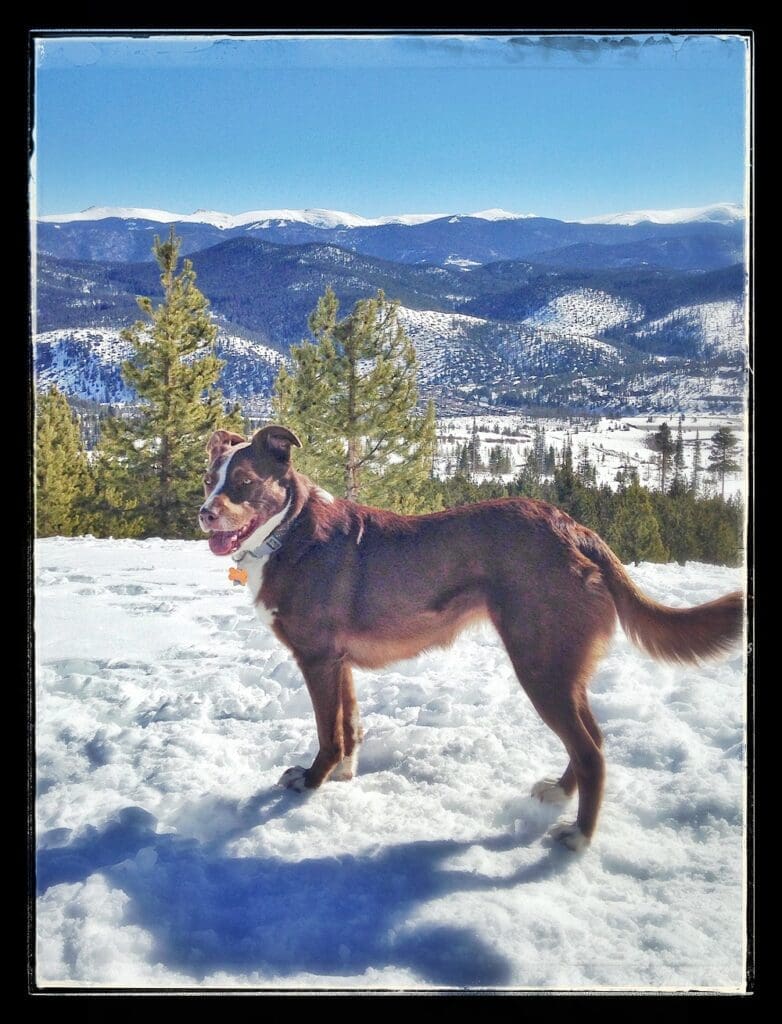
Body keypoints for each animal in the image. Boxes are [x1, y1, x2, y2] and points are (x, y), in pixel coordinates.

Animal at [198, 428, 741, 851]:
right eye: (208, 480)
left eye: (244, 484)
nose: (205, 513)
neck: (287, 529)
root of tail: (576, 530)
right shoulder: (338, 661)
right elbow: (349, 724)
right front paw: (343, 776)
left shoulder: (316, 659)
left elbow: (328, 733)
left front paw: (311, 782)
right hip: (562, 666)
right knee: (595, 740)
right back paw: (559, 794)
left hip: (539, 665)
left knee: (590, 750)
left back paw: (578, 837)